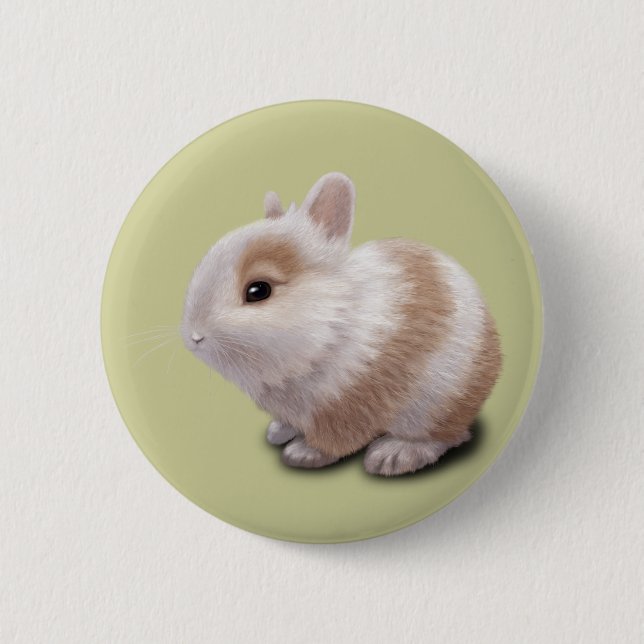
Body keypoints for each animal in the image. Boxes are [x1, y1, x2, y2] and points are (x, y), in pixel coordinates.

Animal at [181, 172, 502, 476]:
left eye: (258, 291)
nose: (195, 337)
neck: (330, 328)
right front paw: (279, 432)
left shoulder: (347, 405)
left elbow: (335, 440)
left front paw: (303, 454)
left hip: (437, 406)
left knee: (444, 436)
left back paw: (393, 455)